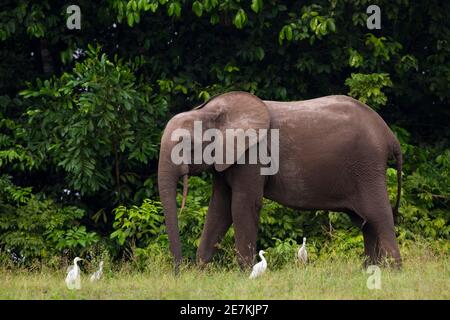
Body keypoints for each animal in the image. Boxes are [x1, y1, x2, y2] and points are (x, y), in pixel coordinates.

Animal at [156, 90, 402, 270]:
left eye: (187, 145)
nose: (179, 271)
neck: (210, 112)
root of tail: (389, 135)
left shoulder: (253, 154)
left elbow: (243, 205)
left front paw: (244, 275)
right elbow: (219, 209)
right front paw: (200, 274)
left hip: (367, 166)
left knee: (379, 215)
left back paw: (394, 272)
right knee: (367, 222)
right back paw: (370, 271)